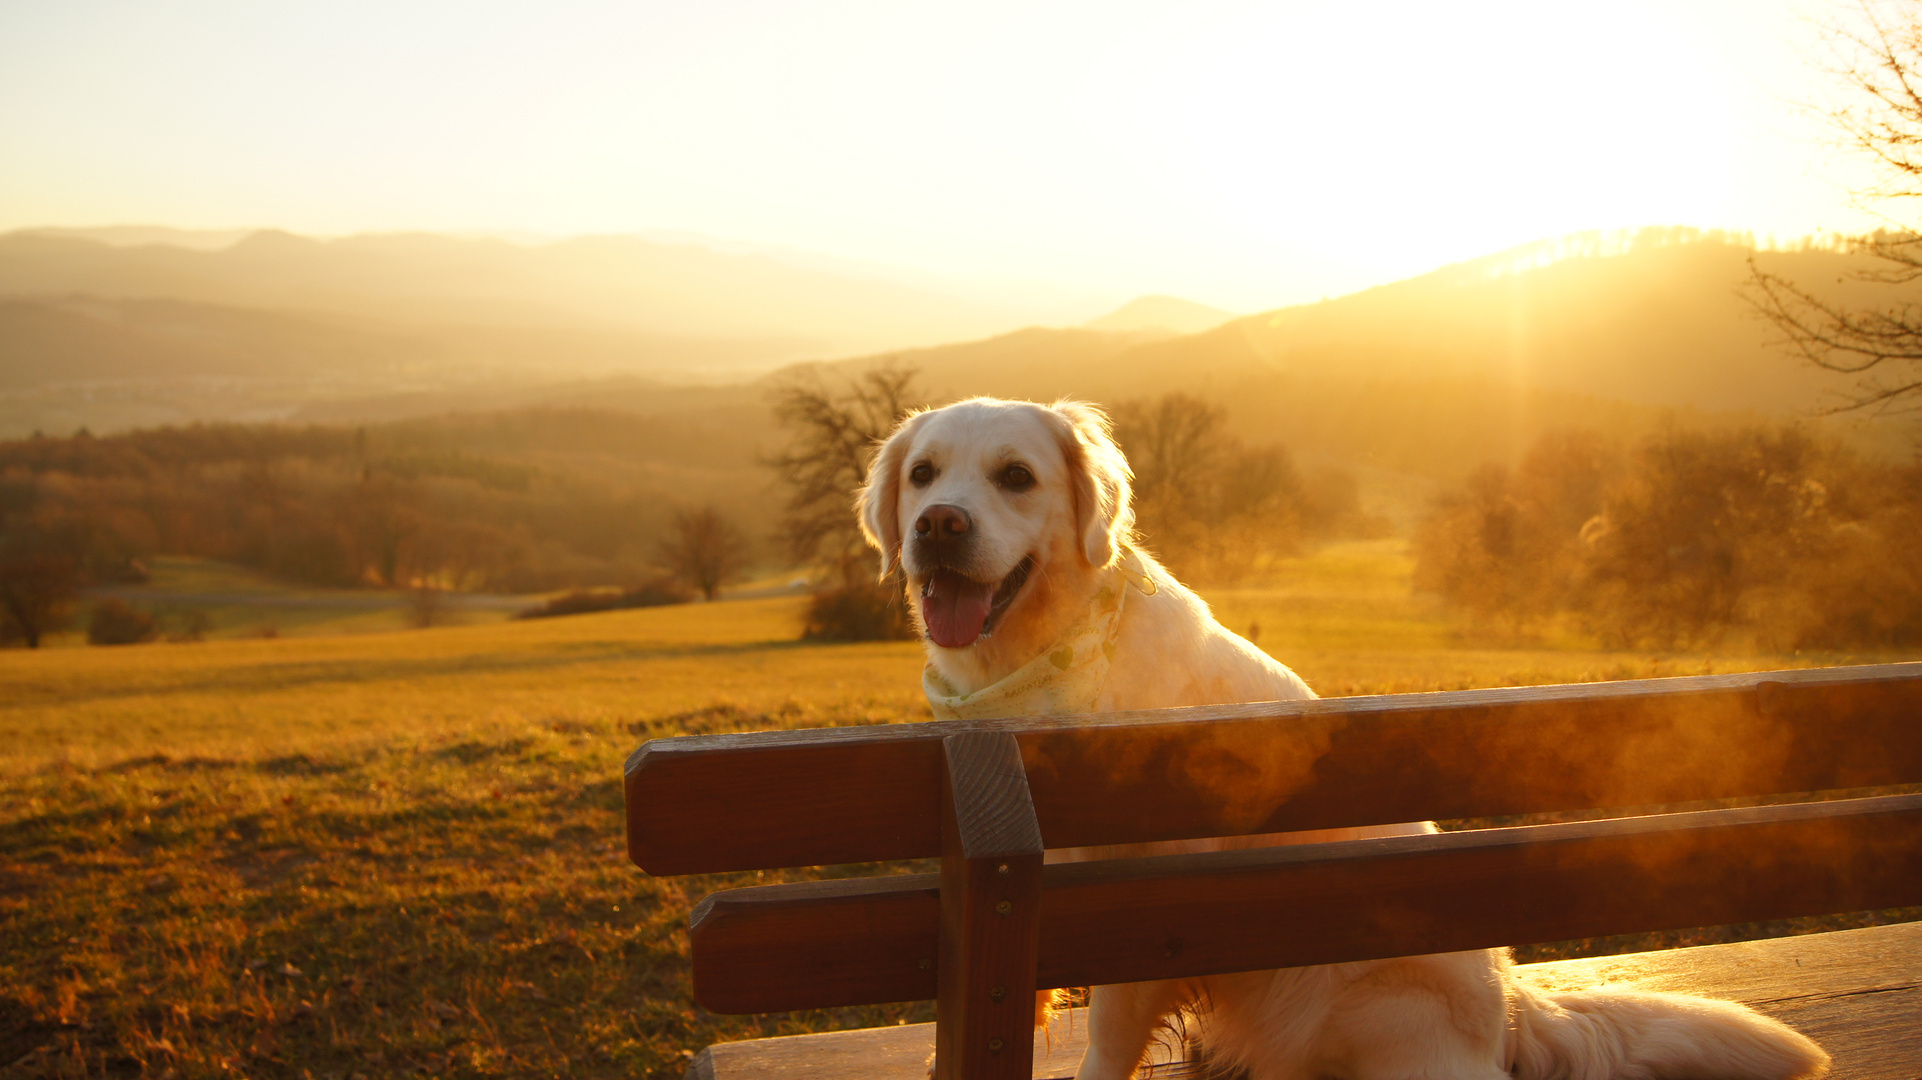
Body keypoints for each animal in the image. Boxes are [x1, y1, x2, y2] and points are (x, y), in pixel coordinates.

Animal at [857, 395, 1829, 1076]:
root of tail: (1515, 1003)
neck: (1027, 684)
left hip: (1376, 1008)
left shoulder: (1143, 910)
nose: (938, 525)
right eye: (924, 474)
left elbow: (1106, 1039)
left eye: (1016, 477)